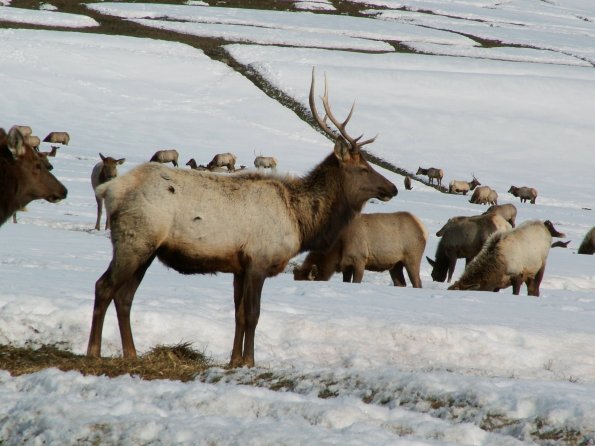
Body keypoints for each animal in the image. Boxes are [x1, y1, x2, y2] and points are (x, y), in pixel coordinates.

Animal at [86, 70, 398, 370]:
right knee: (104, 287)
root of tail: (110, 190)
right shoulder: (258, 260)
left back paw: (131, 353)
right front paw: (249, 361)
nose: (393, 188)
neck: (300, 221)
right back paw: (94, 352)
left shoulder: (238, 266)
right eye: (363, 168)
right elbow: (252, 314)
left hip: (147, 248)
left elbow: (237, 314)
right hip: (135, 240)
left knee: (124, 297)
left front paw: (234, 360)